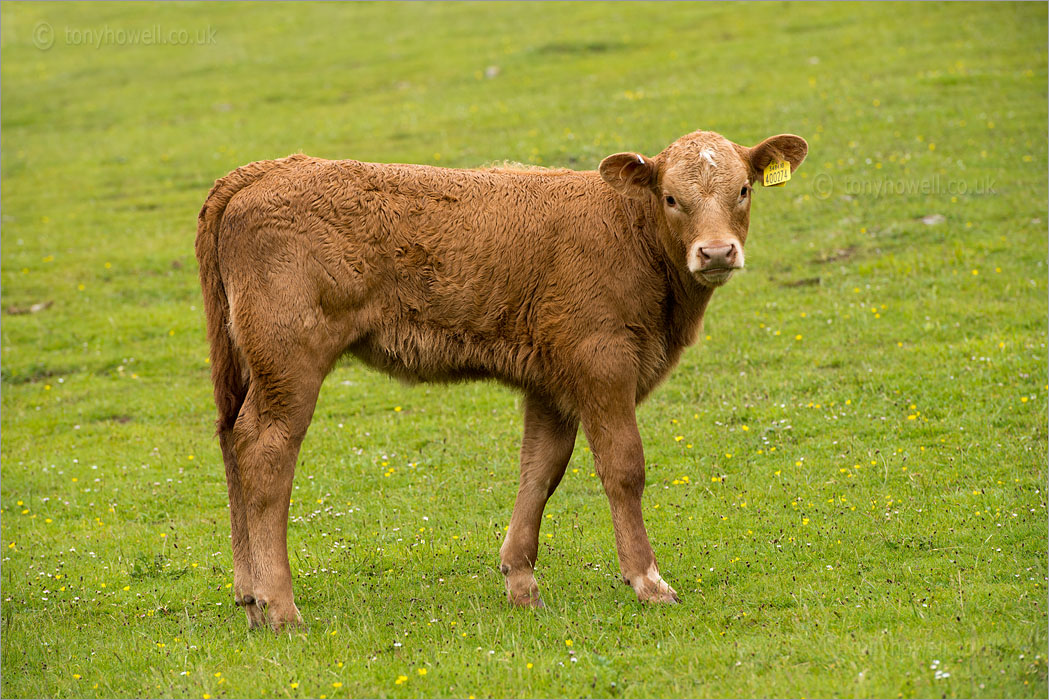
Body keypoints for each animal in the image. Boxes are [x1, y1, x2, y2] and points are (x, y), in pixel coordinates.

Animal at [195, 128, 801, 633]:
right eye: (671, 198)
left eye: (743, 189)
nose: (717, 251)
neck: (630, 235)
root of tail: (265, 170)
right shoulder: (602, 363)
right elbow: (624, 468)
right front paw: (648, 582)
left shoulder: (553, 384)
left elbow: (540, 471)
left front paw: (521, 582)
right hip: (289, 363)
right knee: (266, 452)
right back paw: (281, 606)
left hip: (248, 367)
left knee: (231, 441)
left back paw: (250, 598)